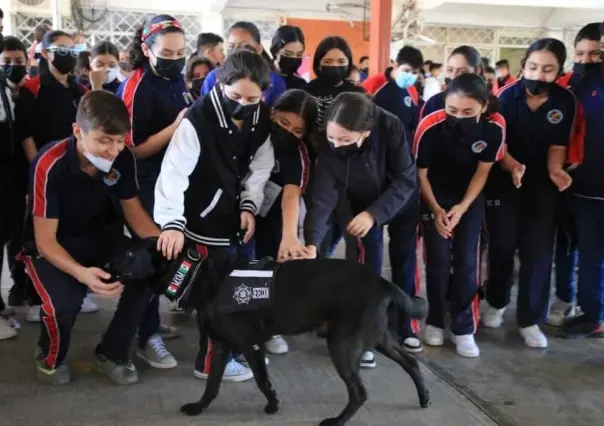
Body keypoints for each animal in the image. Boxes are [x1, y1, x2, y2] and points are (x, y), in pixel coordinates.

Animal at [107, 240, 430, 426]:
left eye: (130, 252)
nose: (106, 263)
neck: (197, 274)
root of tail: (382, 282)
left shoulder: (249, 343)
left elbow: (262, 380)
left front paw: (272, 405)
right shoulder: (222, 345)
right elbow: (212, 384)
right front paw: (199, 408)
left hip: (342, 345)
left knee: (359, 392)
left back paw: (337, 421)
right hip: (379, 339)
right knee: (411, 362)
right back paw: (424, 398)